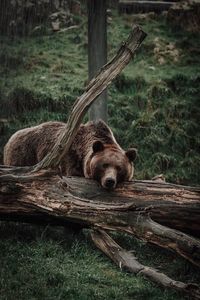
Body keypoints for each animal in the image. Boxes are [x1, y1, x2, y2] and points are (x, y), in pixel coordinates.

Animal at [3, 120, 137, 189]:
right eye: (104, 165)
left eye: (119, 168)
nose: (110, 181)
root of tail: (10, 139)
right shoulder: (70, 157)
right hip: (24, 154)